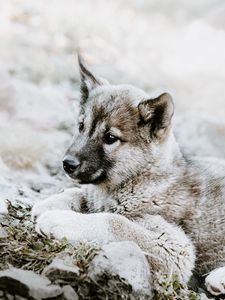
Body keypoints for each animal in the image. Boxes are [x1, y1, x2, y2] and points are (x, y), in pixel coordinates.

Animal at [31, 55, 225, 296]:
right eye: (81, 126)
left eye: (110, 138)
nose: (67, 164)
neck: (140, 178)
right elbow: (78, 192)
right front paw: (48, 204)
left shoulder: (174, 246)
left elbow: (113, 220)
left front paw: (58, 219)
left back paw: (218, 279)